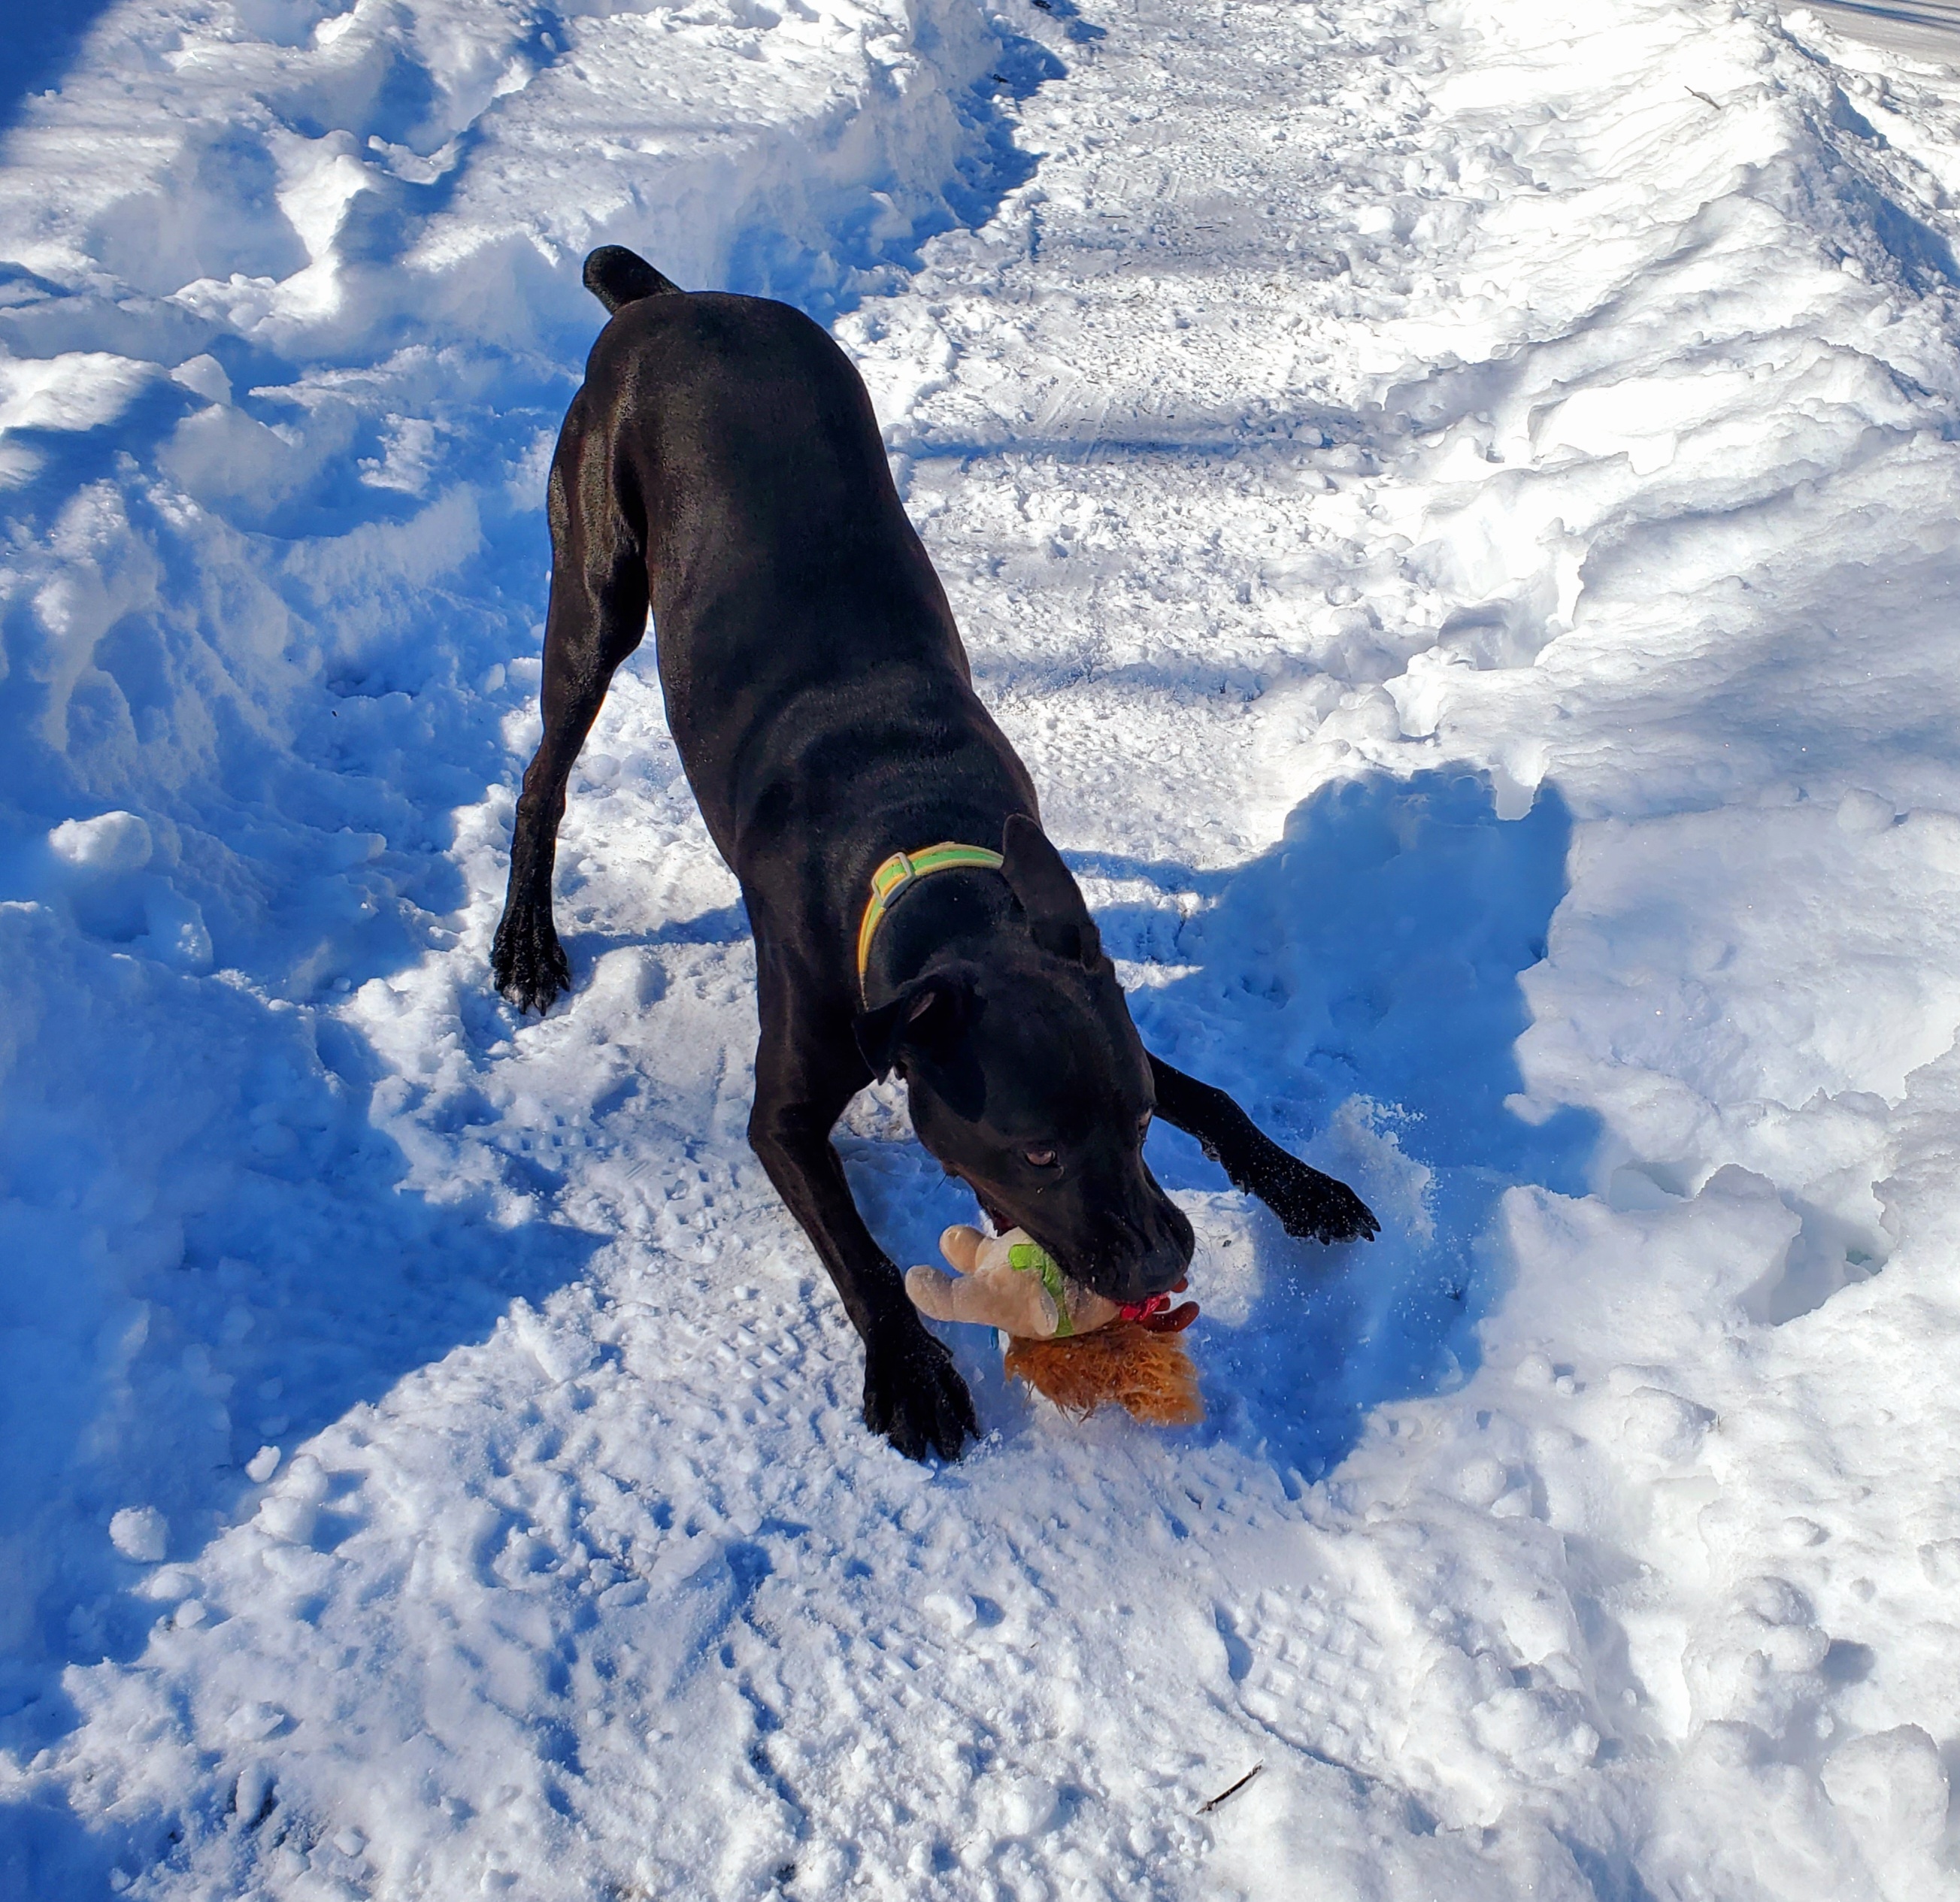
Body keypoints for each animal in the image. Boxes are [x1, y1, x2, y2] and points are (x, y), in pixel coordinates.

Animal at [489, 247, 1380, 1451]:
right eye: (1037, 1152)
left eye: (1138, 1120)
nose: (1164, 1261)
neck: (927, 866)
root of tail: (667, 301)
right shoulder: (784, 1110)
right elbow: (859, 1251)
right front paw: (911, 1372)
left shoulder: (1079, 978)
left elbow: (1218, 1096)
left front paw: (1304, 1183)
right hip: (592, 591)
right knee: (542, 777)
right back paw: (525, 944)